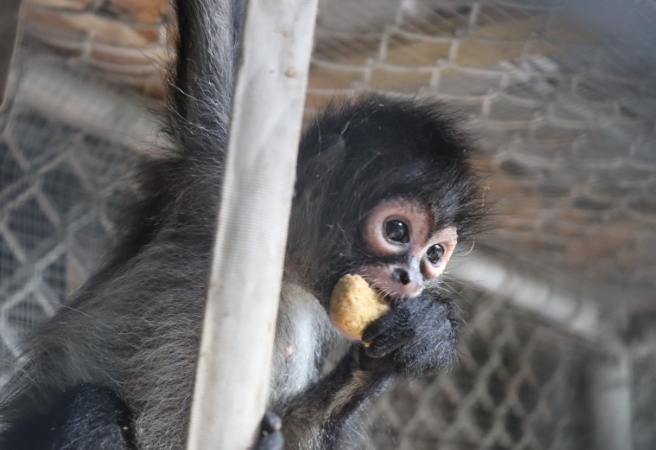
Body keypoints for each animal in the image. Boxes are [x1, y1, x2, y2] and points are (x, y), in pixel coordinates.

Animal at [0, 0, 482, 446]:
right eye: (396, 231)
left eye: (435, 254)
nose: (412, 277)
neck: (279, 268)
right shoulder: (218, 172)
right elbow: (211, 22)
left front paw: (421, 337)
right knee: (92, 408)